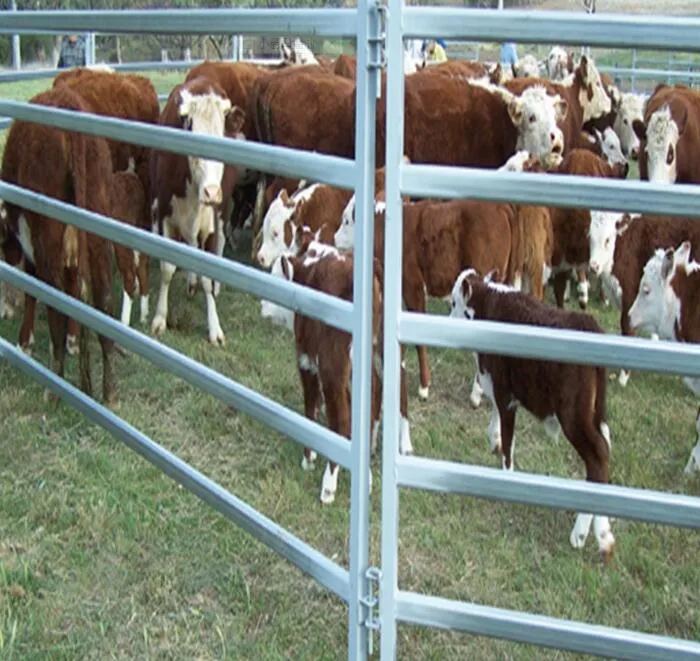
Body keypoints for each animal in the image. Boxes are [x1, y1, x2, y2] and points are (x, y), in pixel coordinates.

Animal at [0, 85, 117, 404]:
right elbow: (75, 287)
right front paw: (74, 340)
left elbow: (32, 289)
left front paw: (25, 341)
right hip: (97, 231)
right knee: (102, 298)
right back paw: (110, 390)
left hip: (48, 236)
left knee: (54, 299)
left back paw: (54, 386)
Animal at [264, 241, 416, 500]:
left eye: (275, 277)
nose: (262, 306)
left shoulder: (306, 360)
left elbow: (312, 406)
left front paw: (309, 459)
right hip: (384, 347)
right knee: (388, 388)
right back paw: (385, 449)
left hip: (333, 363)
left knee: (343, 417)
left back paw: (329, 484)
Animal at [448, 266, 612, 556]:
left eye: (454, 303)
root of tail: (587, 322)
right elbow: (497, 419)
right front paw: (493, 440)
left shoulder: (505, 391)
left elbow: (508, 435)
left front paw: (506, 473)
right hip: (594, 414)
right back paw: (602, 532)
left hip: (574, 416)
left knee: (598, 457)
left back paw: (584, 535)